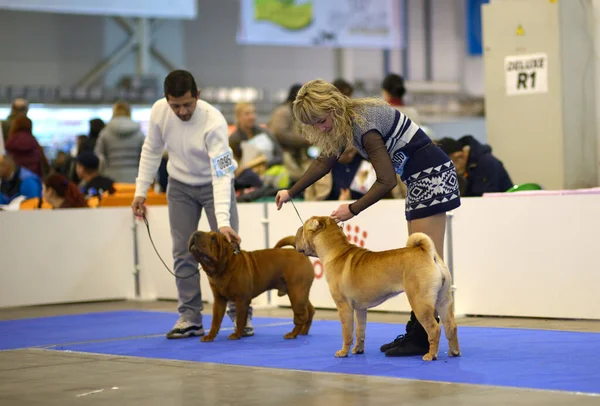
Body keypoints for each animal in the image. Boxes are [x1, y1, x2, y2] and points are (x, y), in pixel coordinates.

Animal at [296, 216, 460, 362]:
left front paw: (343, 352)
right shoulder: (360, 309)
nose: (297, 230)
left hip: (420, 302)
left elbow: (347, 332)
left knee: (434, 328)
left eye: (302, 229)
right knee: (450, 326)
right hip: (443, 300)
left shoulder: (343, 307)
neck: (336, 252)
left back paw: (431, 355)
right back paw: (454, 352)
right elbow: (360, 331)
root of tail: (427, 252)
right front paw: (358, 350)